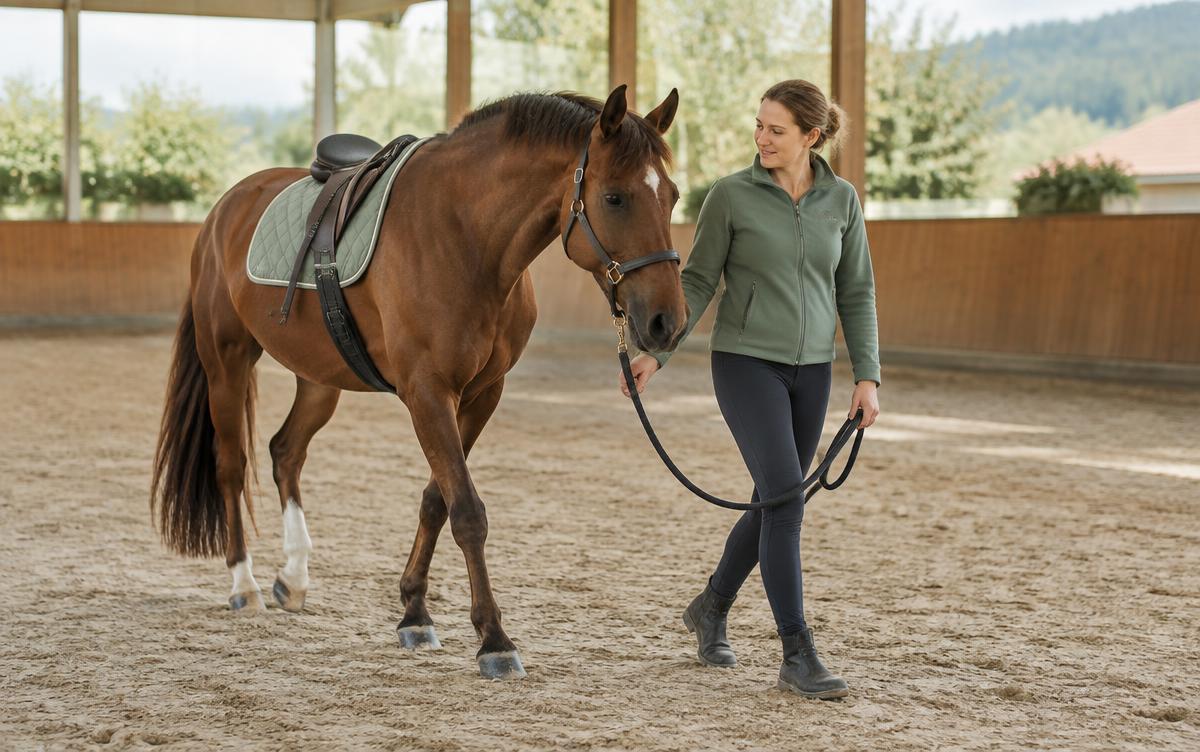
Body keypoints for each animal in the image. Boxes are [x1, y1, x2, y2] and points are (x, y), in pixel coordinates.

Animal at [150, 86, 687, 679]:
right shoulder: (427, 393)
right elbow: (468, 511)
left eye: (672, 197)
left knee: (285, 452)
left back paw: (293, 577)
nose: (667, 322)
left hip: (318, 377)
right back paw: (243, 585)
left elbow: (437, 499)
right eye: (615, 198)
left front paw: (413, 612)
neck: (468, 237)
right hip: (226, 361)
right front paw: (494, 639)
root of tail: (225, 208)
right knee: (231, 465)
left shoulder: (480, 395)